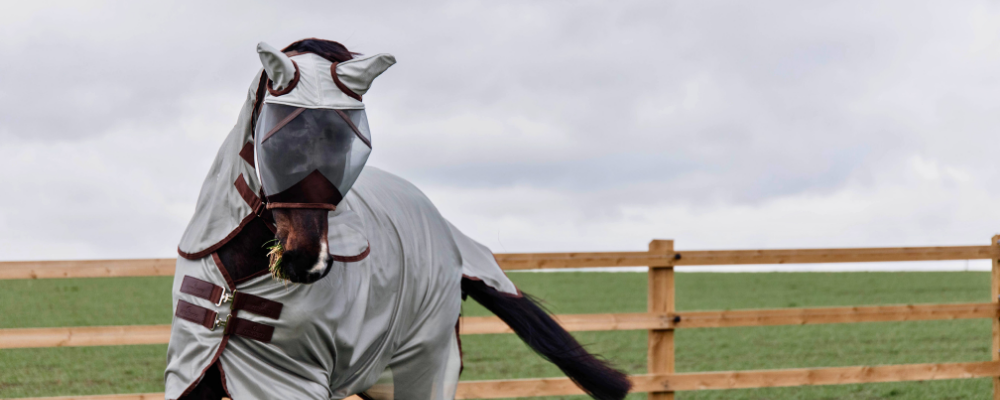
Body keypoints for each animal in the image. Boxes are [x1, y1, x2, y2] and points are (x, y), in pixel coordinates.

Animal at [165, 38, 631, 400]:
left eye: (349, 147)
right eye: (278, 141)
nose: (308, 262)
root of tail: (450, 238)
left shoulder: (290, 381)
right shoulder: (193, 372)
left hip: (424, 363)